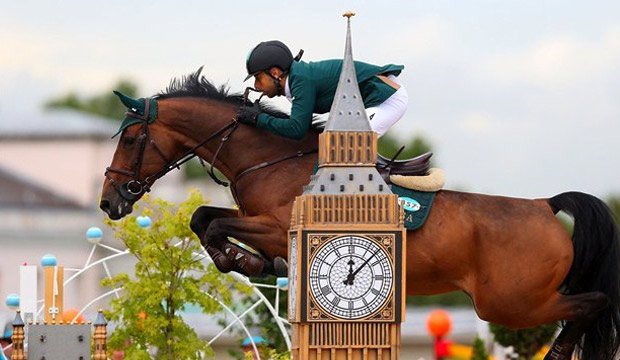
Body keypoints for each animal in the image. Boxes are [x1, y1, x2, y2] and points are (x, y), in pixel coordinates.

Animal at [101, 68, 620, 360]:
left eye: (132, 139)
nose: (110, 201)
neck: (271, 158)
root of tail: (545, 206)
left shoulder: (277, 228)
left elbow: (216, 224)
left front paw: (248, 261)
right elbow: (204, 218)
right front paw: (249, 262)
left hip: (509, 302)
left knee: (592, 303)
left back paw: (558, 354)